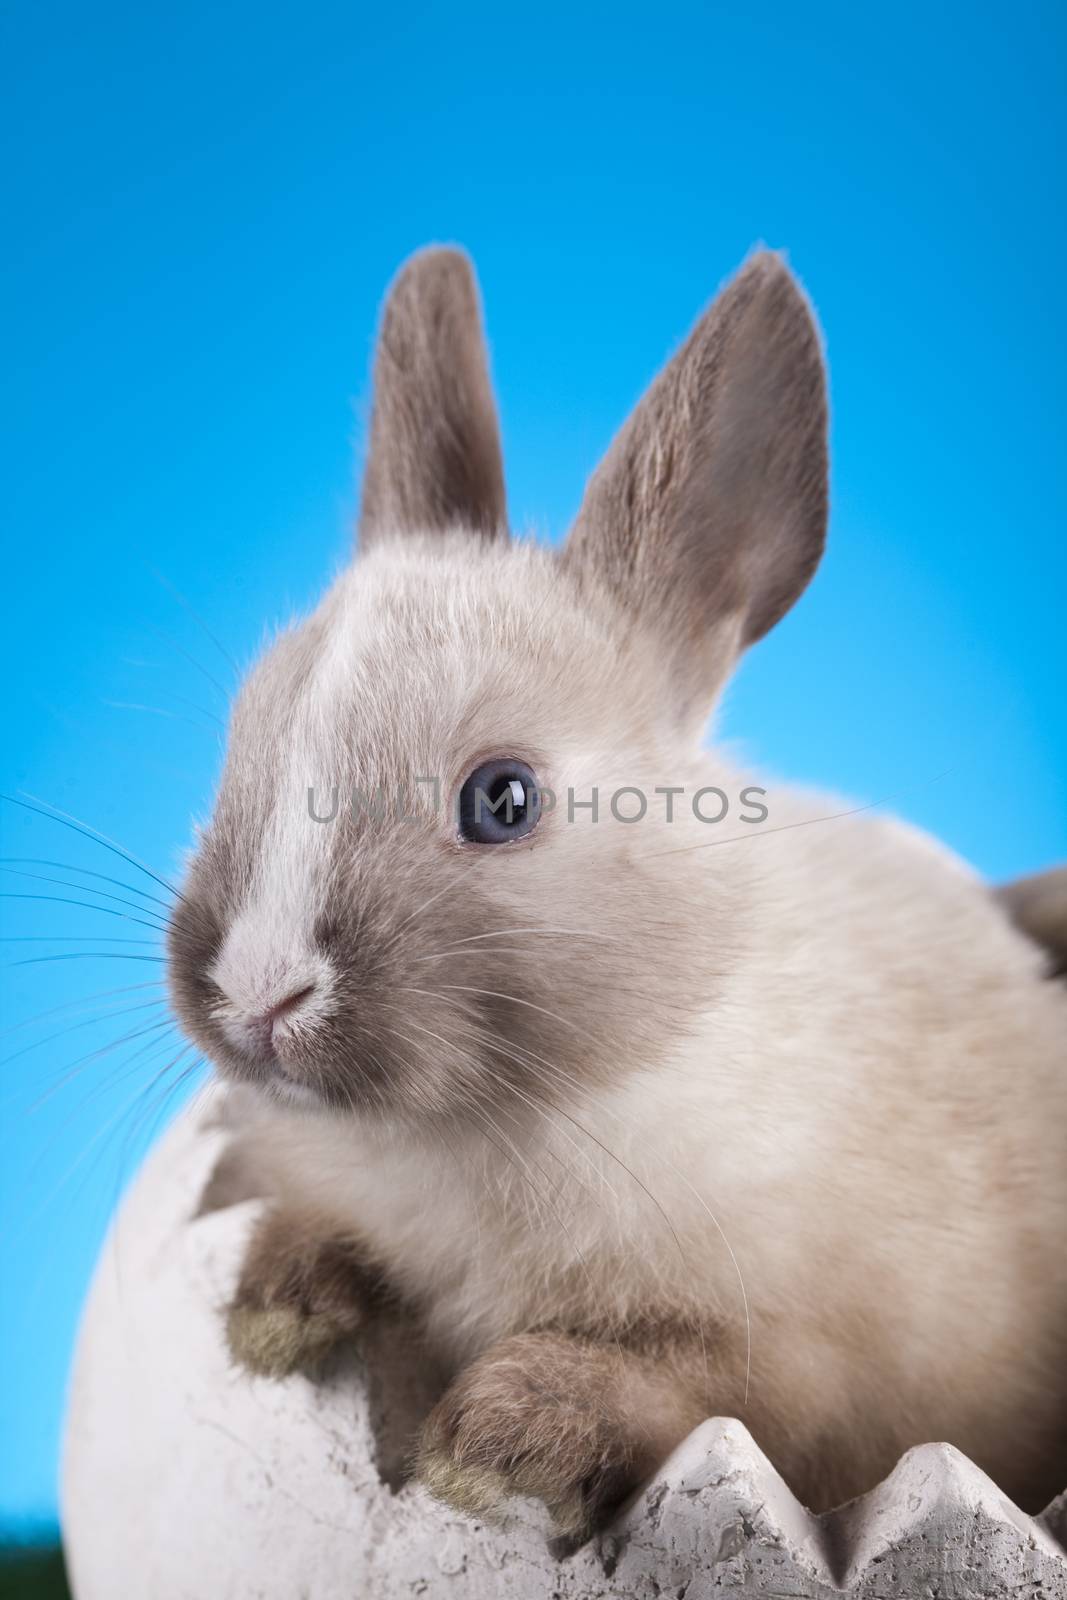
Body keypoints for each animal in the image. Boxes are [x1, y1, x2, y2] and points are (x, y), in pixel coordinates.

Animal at [167, 249, 1067, 1536]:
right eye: (244, 739)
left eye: (502, 799)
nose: (258, 993)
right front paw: (277, 1309)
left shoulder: (804, 1370)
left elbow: (688, 1387)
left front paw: (494, 1448)